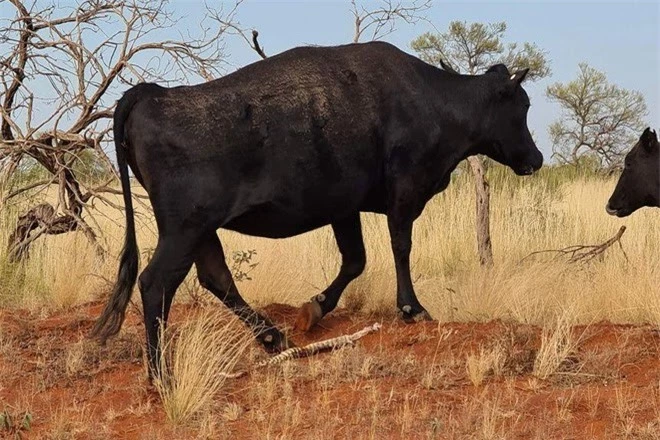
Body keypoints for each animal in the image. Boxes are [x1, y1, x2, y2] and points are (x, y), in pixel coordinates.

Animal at [91, 41, 540, 374]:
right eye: (523, 106)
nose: (535, 158)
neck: (434, 101)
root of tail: (153, 93)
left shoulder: (345, 208)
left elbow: (355, 260)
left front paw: (314, 309)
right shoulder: (404, 193)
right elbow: (400, 247)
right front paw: (412, 308)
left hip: (200, 232)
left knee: (216, 278)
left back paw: (272, 337)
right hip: (184, 229)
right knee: (156, 283)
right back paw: (159, 374)